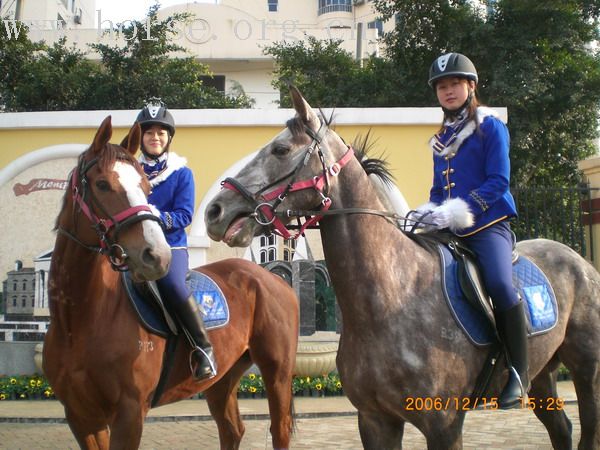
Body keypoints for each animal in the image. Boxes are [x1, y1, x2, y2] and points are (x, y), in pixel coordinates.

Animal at [44, 117, 300, 450]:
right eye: (102, 184)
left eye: (145, 187)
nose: (157, 255)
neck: (79, 320)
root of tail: (271, 278)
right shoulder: (80, 417)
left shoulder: (129, 413)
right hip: (223, 377)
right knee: (232, 429)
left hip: (277, 371)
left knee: (279, 428)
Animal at [203, 88, 600, 450]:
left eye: (281, 150)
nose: (215, 211)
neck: (391, 297)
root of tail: (581, 262)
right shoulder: (375, 420)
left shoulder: (443, 424)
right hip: (543, 372)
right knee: (561, 429)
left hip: (587, 370)